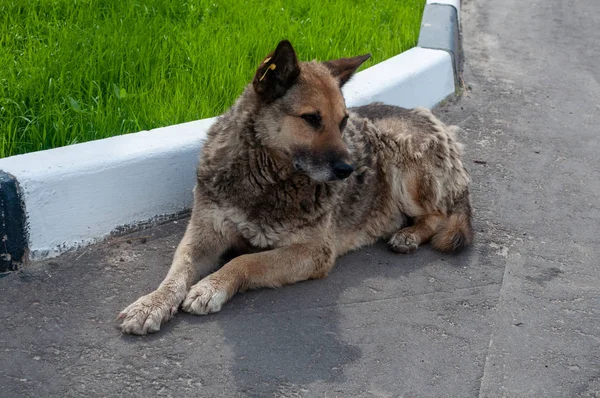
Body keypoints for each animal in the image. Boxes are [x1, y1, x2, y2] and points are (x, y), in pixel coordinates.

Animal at [118, 39, 474, 336]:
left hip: (401, 157)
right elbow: (177, 272)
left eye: (343, 122)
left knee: (439, 214)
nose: (349, 170)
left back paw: (409, 234)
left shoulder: (314, 252)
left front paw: (211, 286)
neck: (265, 179)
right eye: (311, 119)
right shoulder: (202, 237)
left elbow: (246, 261)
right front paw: (152, 303)